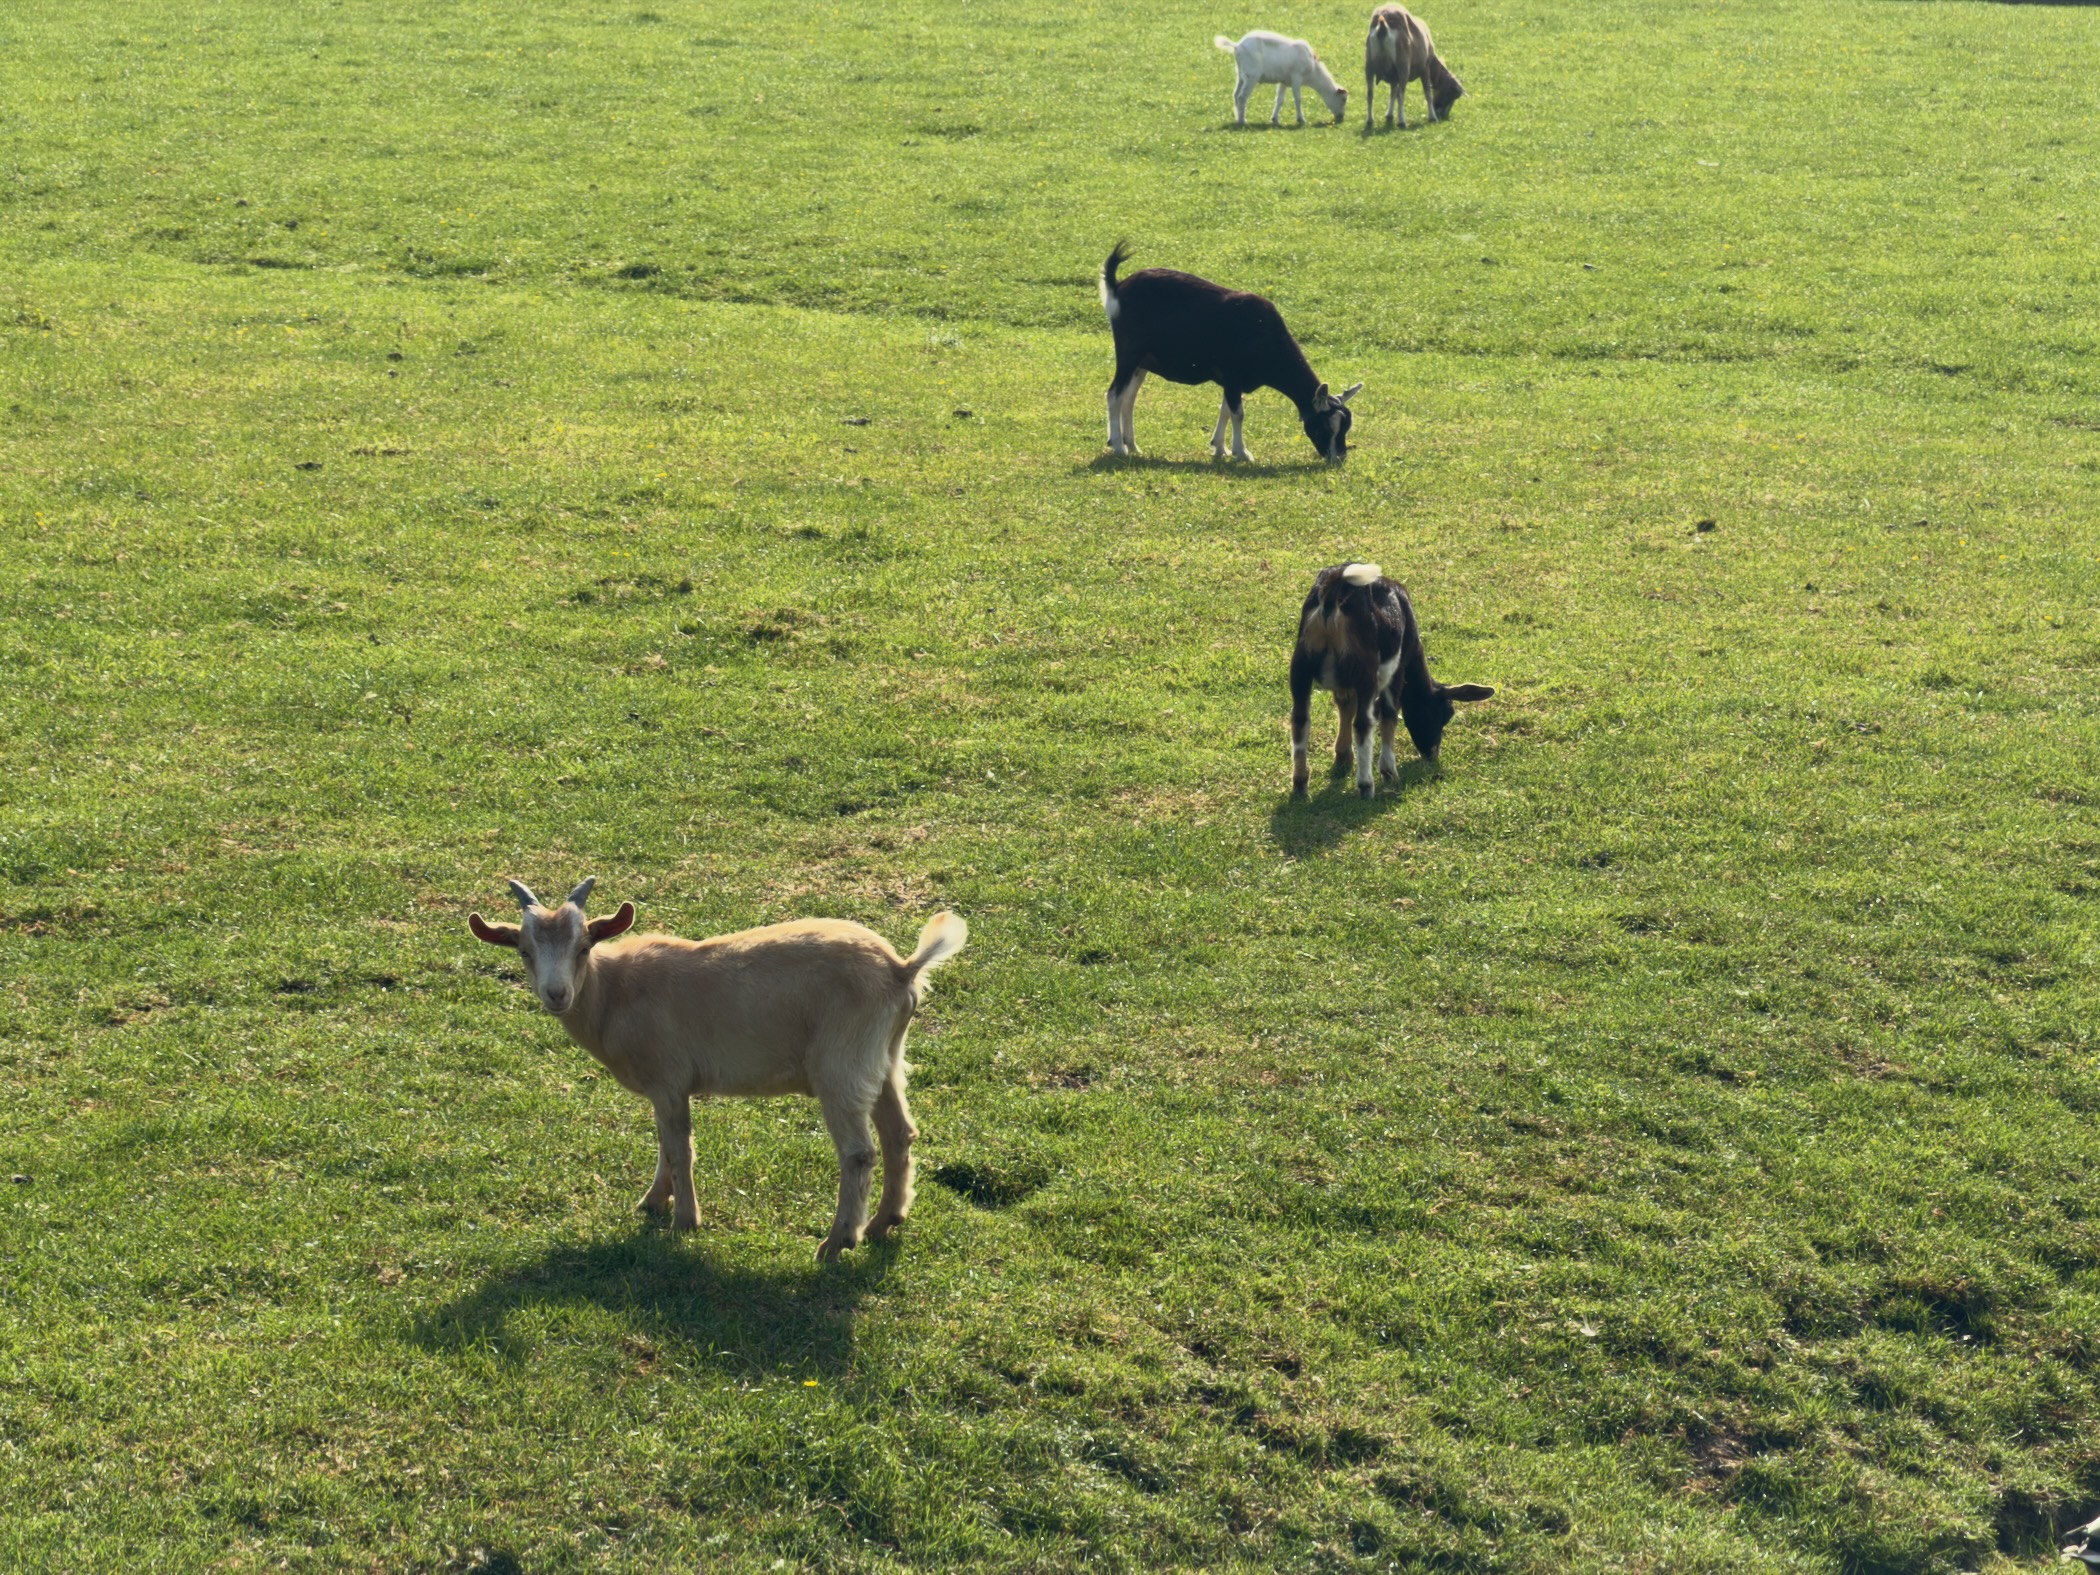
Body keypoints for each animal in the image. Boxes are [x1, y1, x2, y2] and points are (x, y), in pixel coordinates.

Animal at [467, 877, 968, 1261]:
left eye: (585, 946)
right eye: (524, 950)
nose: (557, 994)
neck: (615, 993)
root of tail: (902, 970)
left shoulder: (668, 1077)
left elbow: (679, 1148)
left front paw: (684, 1221)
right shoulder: (665, 1086)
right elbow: (664, 1143)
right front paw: (653, 1202)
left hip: (841, 1064)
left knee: (859, 1152)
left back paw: (837, 1242)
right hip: (884, 1058)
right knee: (900, 1133)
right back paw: (885, 1222)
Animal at [1099, 242, 1361, 463]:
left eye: (1346, 427)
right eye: (1326, 427)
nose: (1338, 458)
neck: (1264, 333)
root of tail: (1117, 286)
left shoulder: (1232, 382)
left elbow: (1225, 409)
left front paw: (1219, 448)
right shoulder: (1233, 377)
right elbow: (1238, 413)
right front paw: (1242, 452)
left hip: (1142, 364)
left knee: (1129, 399)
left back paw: (1133, 446)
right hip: (1129, 354)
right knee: (1114, 395)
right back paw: (1119, 447)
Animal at [1214, 31, 1348, 127]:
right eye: (1343, 99)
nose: (1341, 117)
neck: (1314, 72)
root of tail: (1237, 45)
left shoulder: (1284, 81)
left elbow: (1279, 100)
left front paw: (1275, 119)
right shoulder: (1296, 77)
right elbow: (1298, 99)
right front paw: (1301, 119)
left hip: (1241, 75)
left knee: (1235, 95)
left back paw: (1238, 119)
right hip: (1251, 76)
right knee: (1242, 97)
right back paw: (1243, 121)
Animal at [1289, 563, 1494, 797]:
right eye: (1447, 713)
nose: (1431, 754)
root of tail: (1333, 596)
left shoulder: (1345, 683)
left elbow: (1345, 706)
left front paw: (1343, 757)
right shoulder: (1397, 672)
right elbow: (1389, 714)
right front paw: (1389, 773)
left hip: (1300, 668)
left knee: (1300, 720)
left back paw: (1300, 784)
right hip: (1365, 671)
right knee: (1363, 723)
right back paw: (1366, 785)